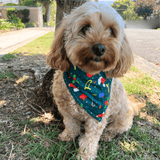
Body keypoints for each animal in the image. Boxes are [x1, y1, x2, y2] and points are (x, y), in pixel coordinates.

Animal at [46, 1, 134, 160]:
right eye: (85, 27)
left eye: (111, 30)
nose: (99, 48)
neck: (88, 77)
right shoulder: (65, 110)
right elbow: (71, 124)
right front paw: (68, 135)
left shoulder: (97, 117)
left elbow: (89, 140)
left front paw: (84, 155)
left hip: (123, 118)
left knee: (114, 129)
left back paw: (107, 135)